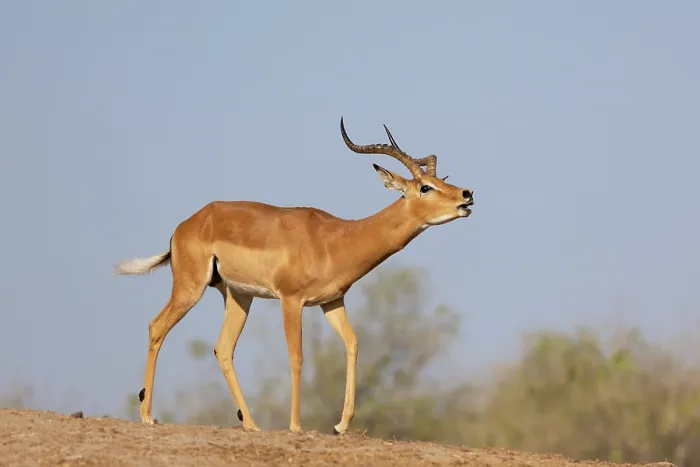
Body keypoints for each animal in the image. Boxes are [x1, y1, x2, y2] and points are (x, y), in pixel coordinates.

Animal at [114, 118, 474, 434]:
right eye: (425, 187)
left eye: (444, 180)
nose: (467, 195)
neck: (336, 239)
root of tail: (186, 225)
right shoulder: (291, 300)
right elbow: (297, 357)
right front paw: (297, 426)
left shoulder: (332, 302)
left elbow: (353, 343)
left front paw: (340, 426)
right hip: (191, 287)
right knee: (157, 327)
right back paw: (147, 416)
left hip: (239, 295)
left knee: (223, 348)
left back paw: (251, 424)